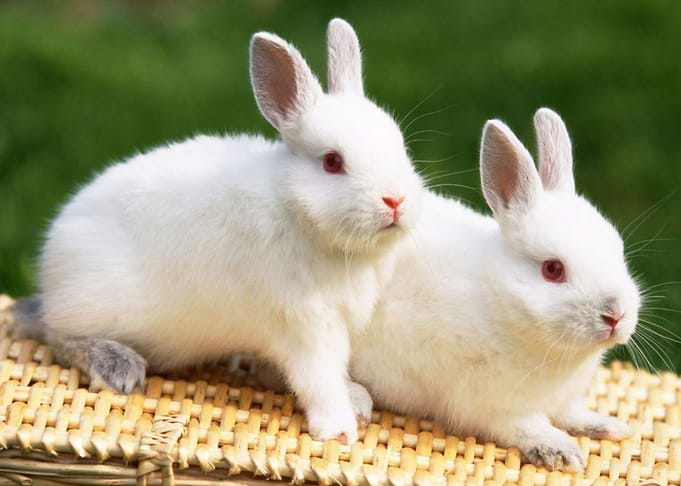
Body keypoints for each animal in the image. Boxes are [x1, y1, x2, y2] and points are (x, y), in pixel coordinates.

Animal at [29, 18, 424, 445]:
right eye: (333, 162)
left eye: (400, 146)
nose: (396, 201)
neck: (299, 214)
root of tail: (51, 259)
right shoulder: (306, 324)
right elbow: (319, 378)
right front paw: (338, 430)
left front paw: (357, 398)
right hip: (90, 305)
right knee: (58, 337)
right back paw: (118, 366)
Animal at [348, 108, 640, 470]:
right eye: (552, 269)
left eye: (618, 250)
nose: (615, 315)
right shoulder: (490, 404)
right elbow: (526, 426)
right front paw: (561, 452)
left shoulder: (564, 399)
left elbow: (572, 413)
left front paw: (608, 426)